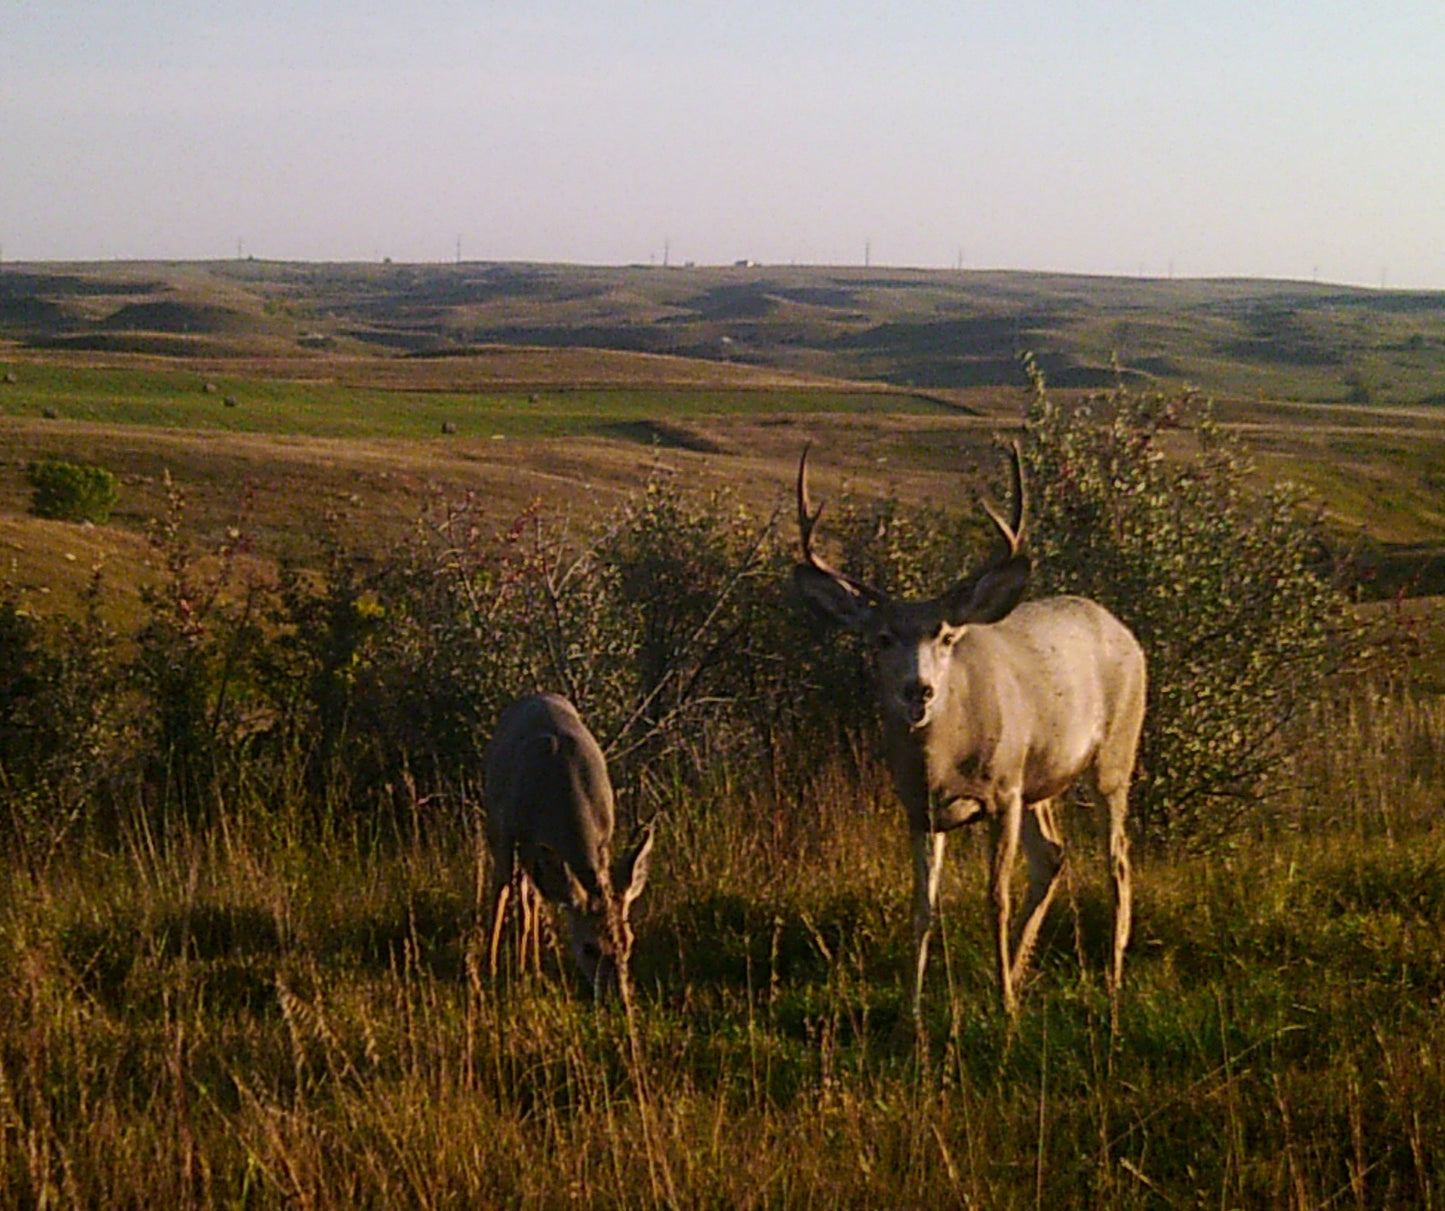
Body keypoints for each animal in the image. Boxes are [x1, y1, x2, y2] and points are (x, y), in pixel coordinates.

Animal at [485, 696, 656, 1000]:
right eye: (589, 948)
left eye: (629, 941)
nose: (620, 998)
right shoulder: (513, 831)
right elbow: (515, 904)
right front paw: (506, 972)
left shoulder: (601, 840)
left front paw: (531, 971)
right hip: (499, 827)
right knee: (503, 889)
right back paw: (495, 967)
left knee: (532, 896)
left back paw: (533, 968)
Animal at [797, 442, 1144, 1017]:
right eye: (882, 638)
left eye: (944, 636)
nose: (918, 690)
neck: (942, 760)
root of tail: (1124, 631)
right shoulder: (920, 808)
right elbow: (922, 906)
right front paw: (912, 1012)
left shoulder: (1002, 792)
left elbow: (994, 898)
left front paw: (1005, 1010)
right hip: (1038, 779)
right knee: (1053, 855)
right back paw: (1020, 973)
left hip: (1113, 755)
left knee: (1116, 859)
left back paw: (1110, 978)